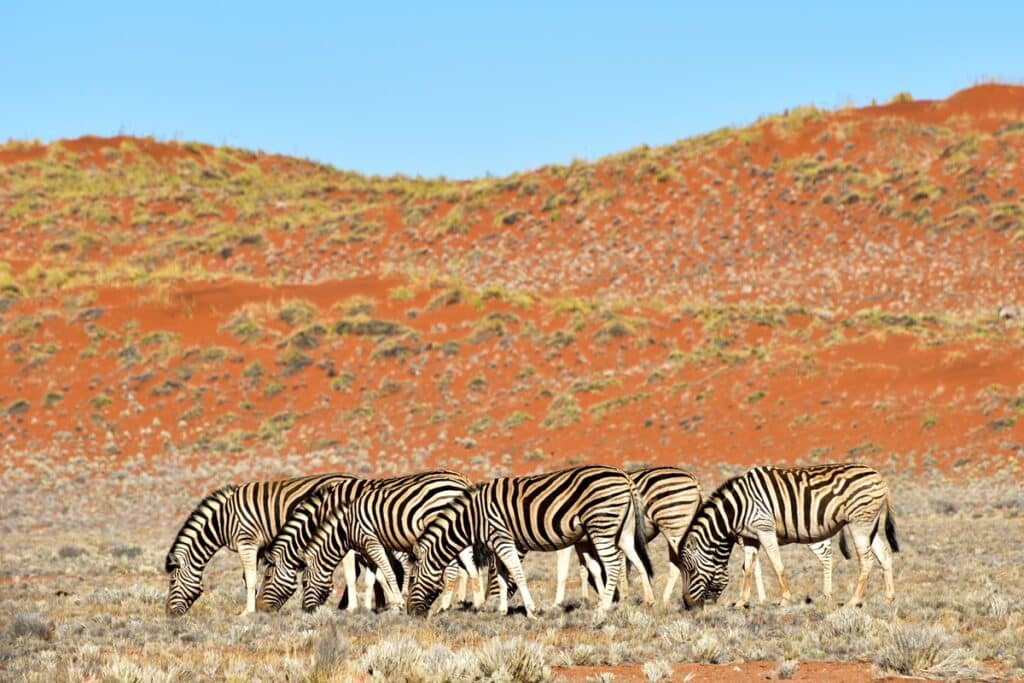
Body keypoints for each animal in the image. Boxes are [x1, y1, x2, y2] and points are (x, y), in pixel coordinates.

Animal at [160, 473, 352, 618]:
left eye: (172, 581)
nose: (168, 613)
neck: (223, 520)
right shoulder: (258, 547)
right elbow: (248, 579)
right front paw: (253, 607)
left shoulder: (246, 542)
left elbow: (251, 579)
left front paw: (248, 613)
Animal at [299, 471, 479, 614]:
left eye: (304, 582)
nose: (305, 610)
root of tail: (463, 480)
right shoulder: (369, 547)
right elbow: (375, 577)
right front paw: (380, 605)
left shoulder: (361, 545)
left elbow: (358, 575)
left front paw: (354, 607)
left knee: (453, 568)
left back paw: (445, 606)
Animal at [403, 464, 651, 618]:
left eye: (413, 578)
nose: (409, 613)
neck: (472, 518)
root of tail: (623, 475)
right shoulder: (496, 544)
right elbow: (502, 576)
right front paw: (502, 610)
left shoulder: (502, 537)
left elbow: (517, 573)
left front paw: (531, 610)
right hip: (624, 531)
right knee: (637, 560)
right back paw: (648, 601)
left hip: (601, 526)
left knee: (613, 564)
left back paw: (604, 608)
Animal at [552, 466, 704, 606]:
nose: (614, 598)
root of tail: (692, 478)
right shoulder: (583, 542)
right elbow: (585, 569)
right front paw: (587, 599)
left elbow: (565, 571)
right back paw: (665, 600)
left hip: (674, 525)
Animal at [679, 464, 897, 610]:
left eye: (690, 570)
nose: (687, 605)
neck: (737, 508)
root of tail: (879, 476)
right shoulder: (750, 538)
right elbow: (748, 569)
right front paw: (741, 602)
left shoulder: (765, 529)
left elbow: (777, 566)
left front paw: (784, 599)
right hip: (870, 525)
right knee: (884, 554)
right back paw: (889, 598)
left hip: (859, 523)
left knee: (866, 560)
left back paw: (854, 601)